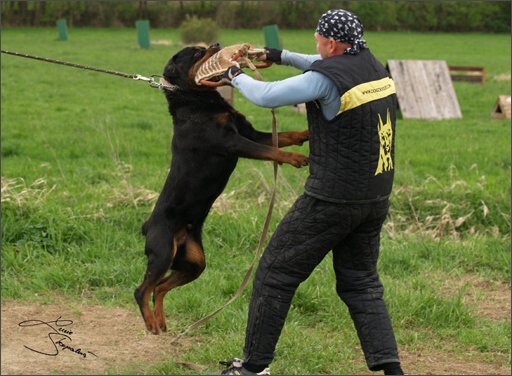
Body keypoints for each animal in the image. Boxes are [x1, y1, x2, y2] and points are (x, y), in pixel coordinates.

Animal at [133, 44, 308, 334]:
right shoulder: (231, 142)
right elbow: (273, 151)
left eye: (204, 48)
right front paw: (295, 158)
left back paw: (160, 319)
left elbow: (283, 136)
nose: (215, 45)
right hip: (162, 253)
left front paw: (306, 134)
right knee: (142, 289)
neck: (196, 101)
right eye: (196, 54)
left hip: (194, 263)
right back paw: (150, 322)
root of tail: (147, 225)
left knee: (159, 288)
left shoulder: (249, 133)